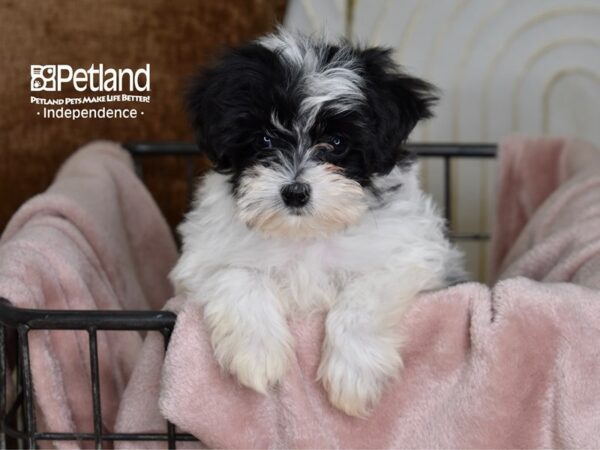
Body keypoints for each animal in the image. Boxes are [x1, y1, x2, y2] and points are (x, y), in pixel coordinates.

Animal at [171, 29, 466, 418]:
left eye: (337, 142)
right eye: (264, 139)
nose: (295, 192)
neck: (306, 233)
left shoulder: (410, 255)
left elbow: (362, 299)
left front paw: (353, 374)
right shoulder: (201, 257)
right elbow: (236, 275)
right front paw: (258, 351)